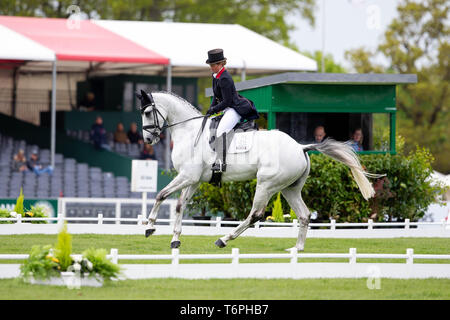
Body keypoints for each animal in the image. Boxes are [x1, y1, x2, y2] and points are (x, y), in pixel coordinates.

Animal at [136, 90, 380, 250]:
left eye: (147, 113)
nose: (148, 139)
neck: (189, 131)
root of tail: (300, 147)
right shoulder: (194, 179)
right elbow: (179, 205)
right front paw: (175, 239)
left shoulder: (188, 176)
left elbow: (161, 195)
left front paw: (149, 227)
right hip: (290, 188)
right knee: (304, 215)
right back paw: (296, 249)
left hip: (266, 184)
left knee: (255, 214)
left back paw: (224, 239)